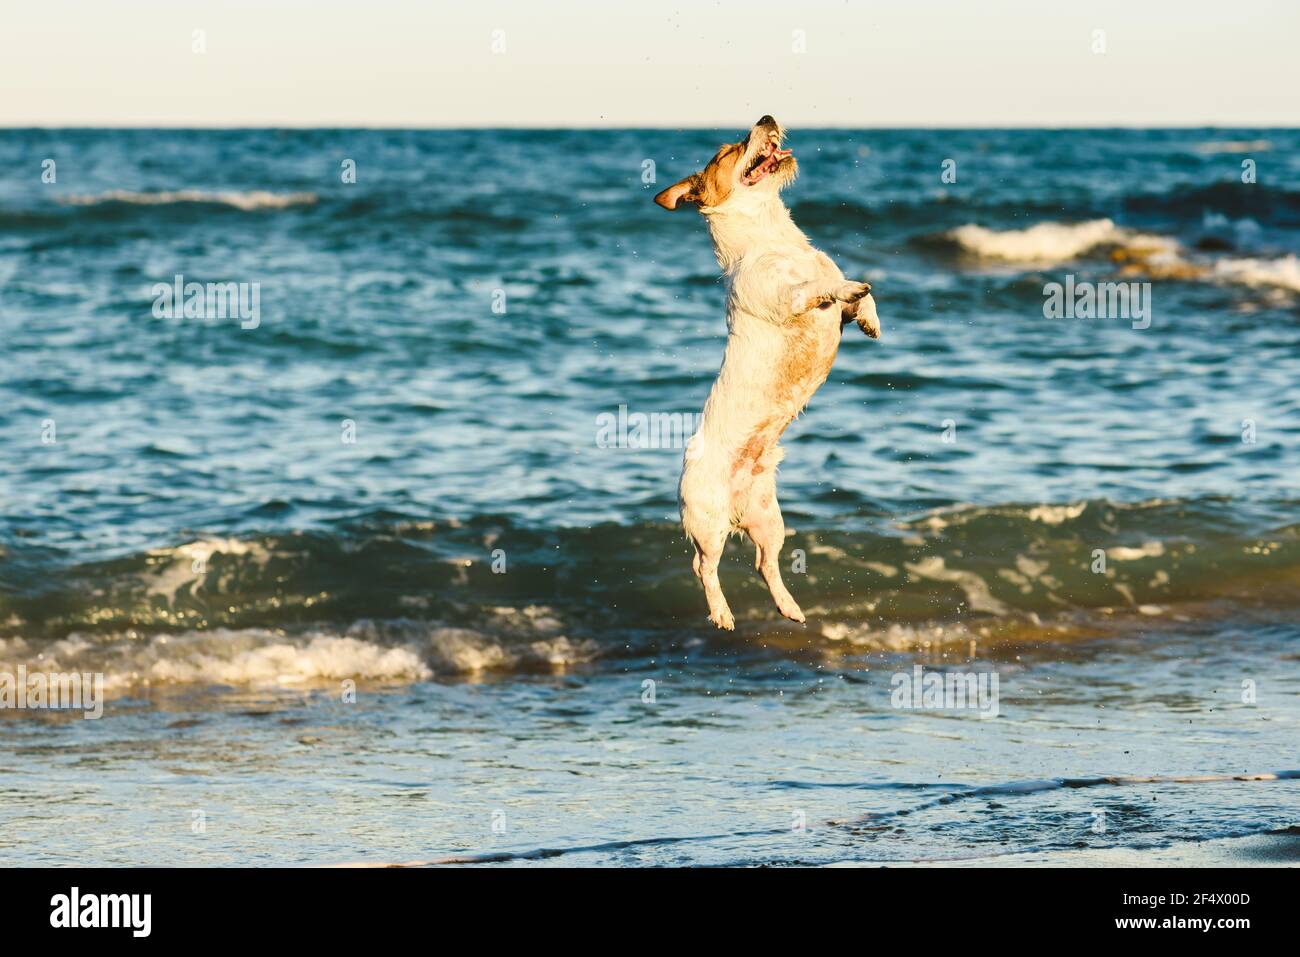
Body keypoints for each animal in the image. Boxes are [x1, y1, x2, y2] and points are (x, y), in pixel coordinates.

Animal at [655, 115, 878, 631]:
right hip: (708, 519)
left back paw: (789, 606)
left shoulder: (832, 311)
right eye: (727, 152)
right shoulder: (788, 297)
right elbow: (819, 287)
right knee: (702, 565)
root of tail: (737, 510)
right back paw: (721, 612)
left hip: (769, 519)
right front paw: (845, 287)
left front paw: (870, 318)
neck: (773, 237)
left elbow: (858, 300)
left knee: (764, 562)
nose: (766, 119)